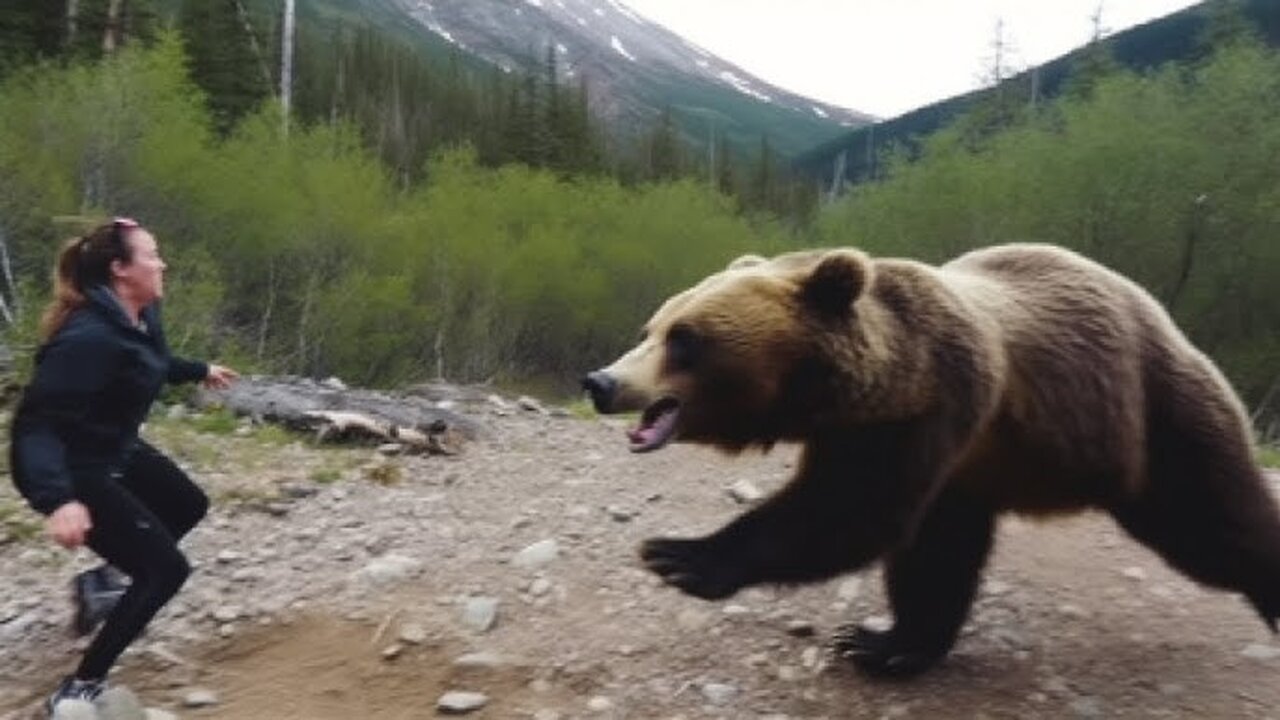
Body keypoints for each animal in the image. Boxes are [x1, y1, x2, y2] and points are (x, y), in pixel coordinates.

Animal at [583, 243, 1280, 676]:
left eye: (685, 339)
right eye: (652, 328)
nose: (601, 381)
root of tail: (1158, 313)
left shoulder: (930, 406)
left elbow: (848, 510)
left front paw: (681, 554)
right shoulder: (931, 448)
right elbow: (925, 550)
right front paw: (881, 643)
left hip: (1152, 417)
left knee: (1213, 521)